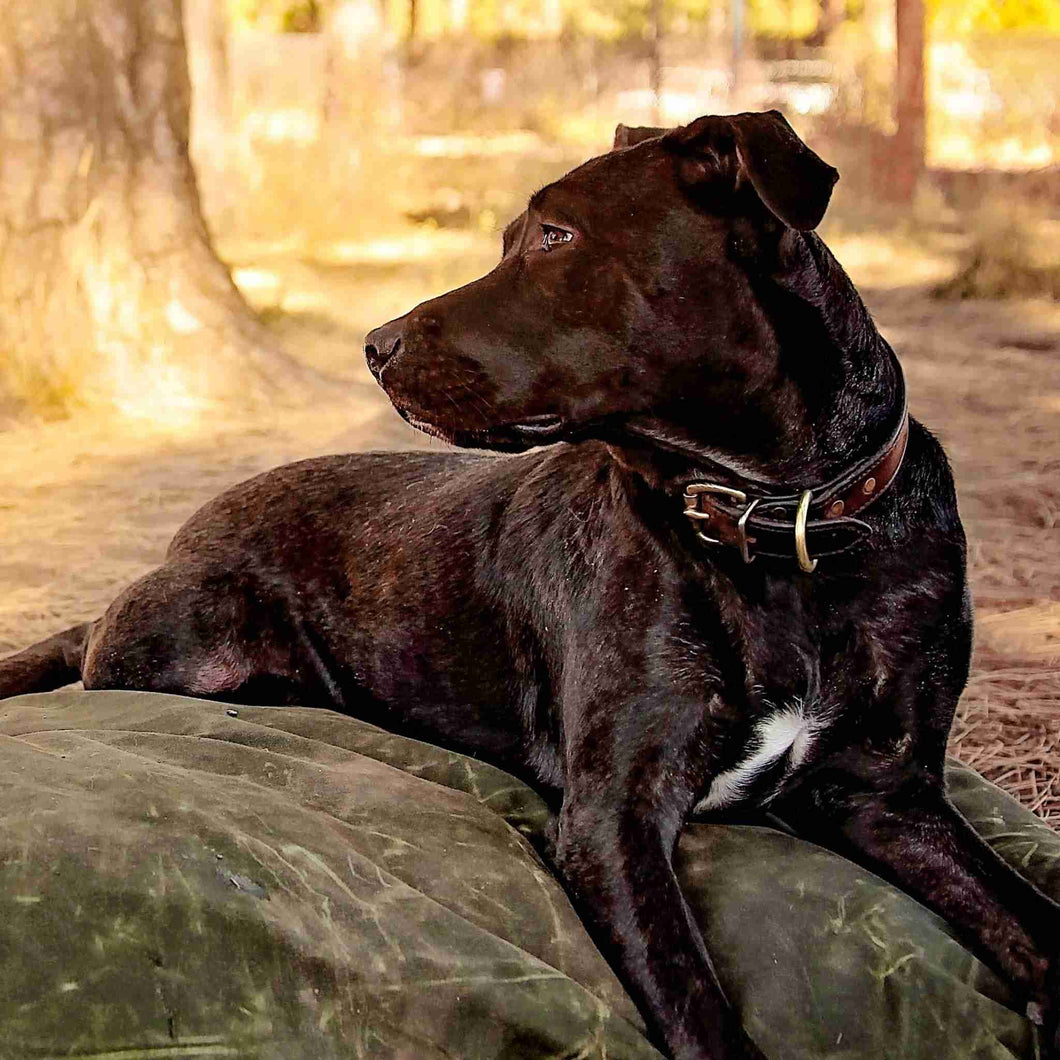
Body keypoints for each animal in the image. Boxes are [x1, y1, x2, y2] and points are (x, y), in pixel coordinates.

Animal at [2, 111, 1060, 1055]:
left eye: (556, 235)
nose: (375, 345)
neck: (779, 527)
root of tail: (182, 535)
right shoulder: (613, 817)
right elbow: (701, 1015)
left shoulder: (888, 792)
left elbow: (1029, 917)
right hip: (186, 631)